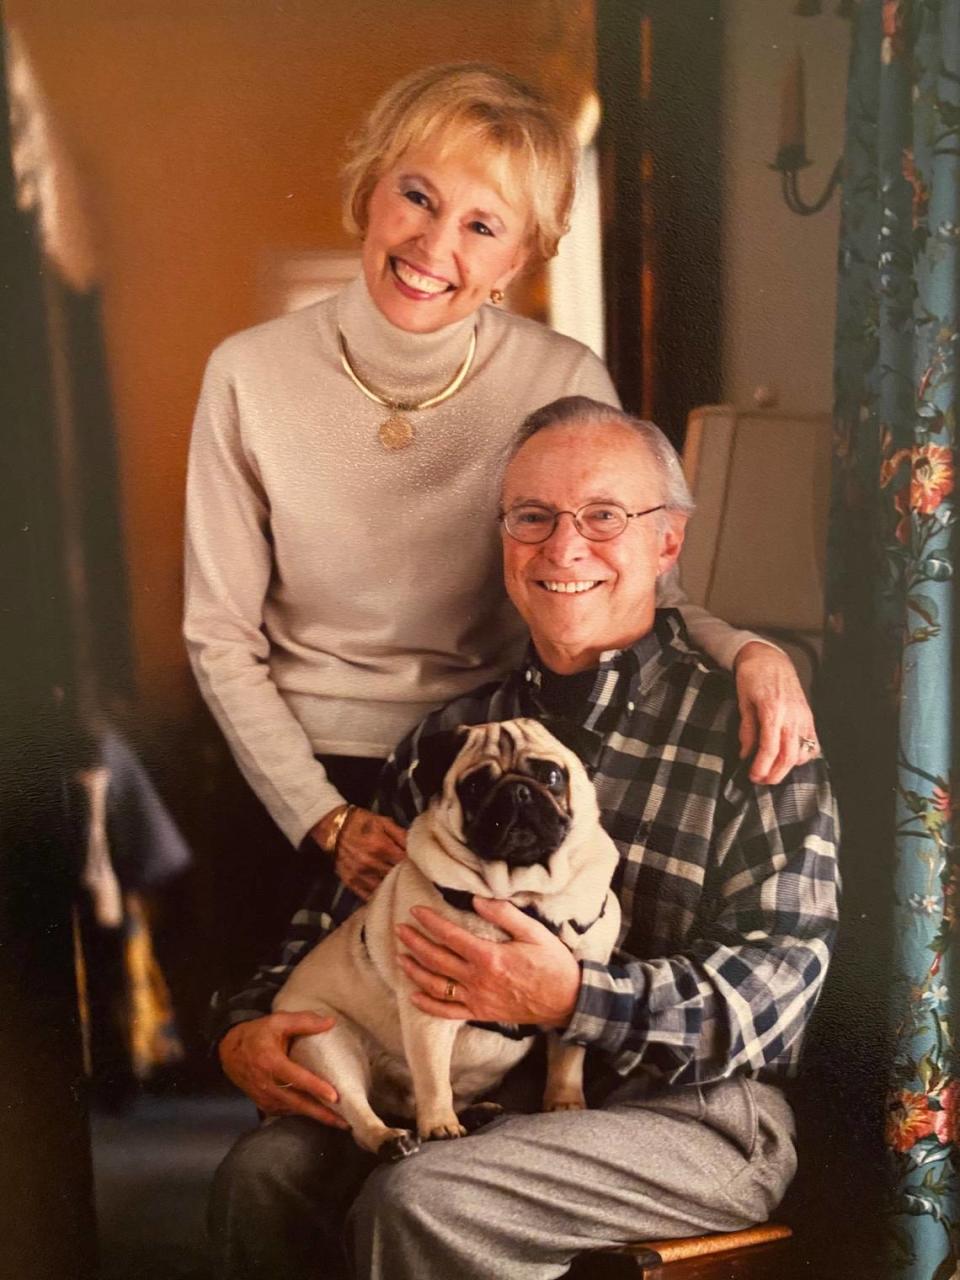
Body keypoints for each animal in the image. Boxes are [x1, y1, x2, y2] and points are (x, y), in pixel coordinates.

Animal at [273, 721, 619, 1162]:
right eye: (474, 787)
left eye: (552, 776)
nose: (518, 791)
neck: (525, 895)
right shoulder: (430, 1014)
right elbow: (433, 1077)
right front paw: (439, 1126)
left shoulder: (572, 992)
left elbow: (568, 1058)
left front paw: (565, 1102)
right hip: (326, 1042)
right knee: (358, 1113)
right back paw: (392, 1137)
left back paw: (473, 1113)